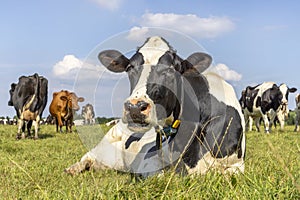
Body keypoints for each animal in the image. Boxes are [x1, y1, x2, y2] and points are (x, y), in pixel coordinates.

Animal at [64, 36, 245, 177]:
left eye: (171, 69)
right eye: (129, 67)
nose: (135, 107)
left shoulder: (238, 166)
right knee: (88, 156)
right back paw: (73, 168)